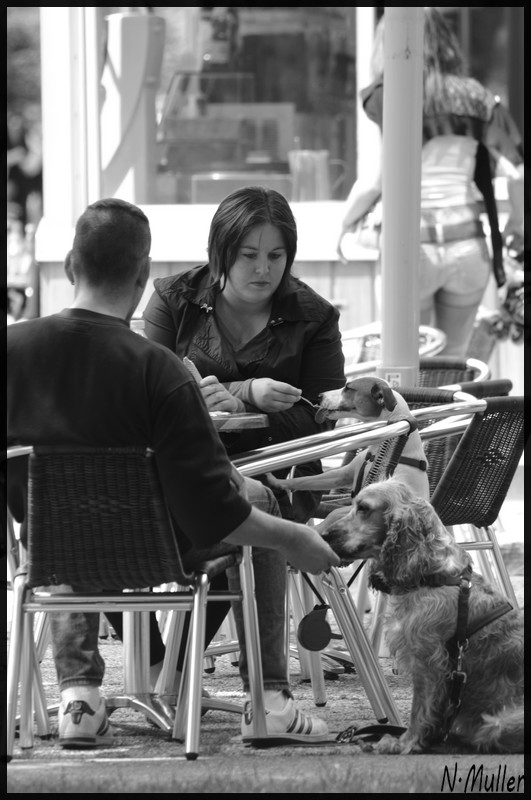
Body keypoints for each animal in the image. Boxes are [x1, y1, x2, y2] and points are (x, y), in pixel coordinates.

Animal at [320, 478, 524, 752]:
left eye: (363, 508)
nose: (322, 535)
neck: (432, 575)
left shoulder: (428, 662)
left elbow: (419, 709)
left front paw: (403, 742)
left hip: (499, 723)